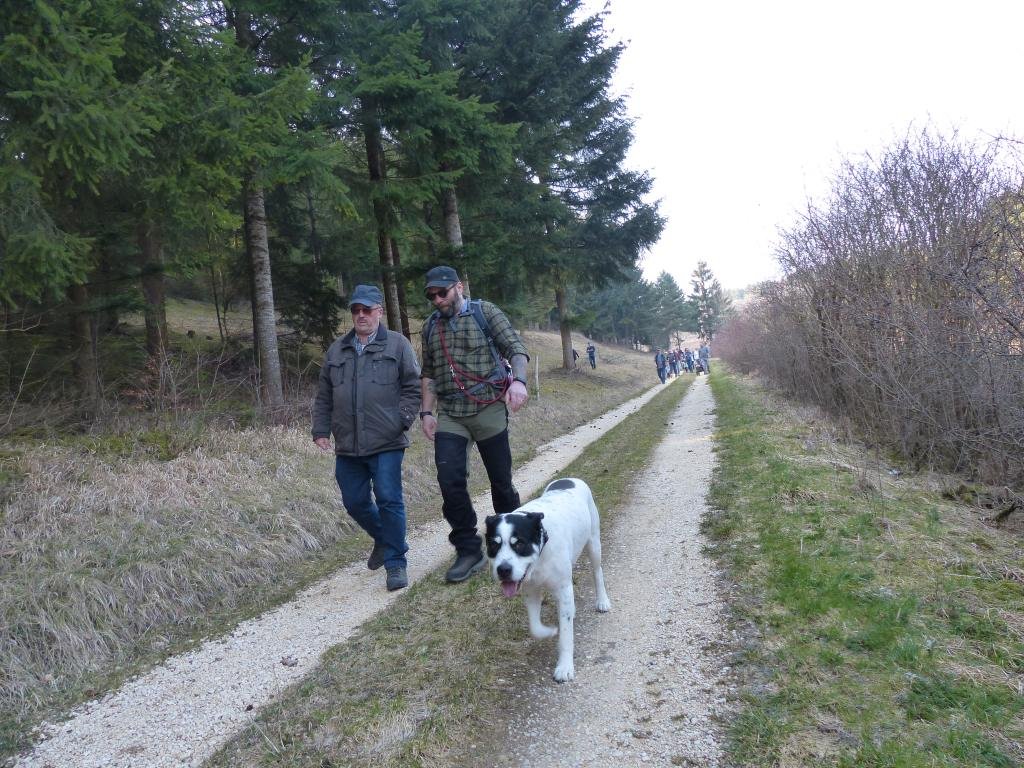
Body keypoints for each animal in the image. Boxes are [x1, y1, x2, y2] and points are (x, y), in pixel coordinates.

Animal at [484, 477, 611, 682]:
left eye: (519, 543)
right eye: (493, 545)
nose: (503, 569)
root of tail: (570, 478)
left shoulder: (563, 587)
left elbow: (566, 635)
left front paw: (565, 666)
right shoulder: (530, 590)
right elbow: (535, 627)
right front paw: (550, 631)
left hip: (593, 542)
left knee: (597, 571)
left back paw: (602, 600)